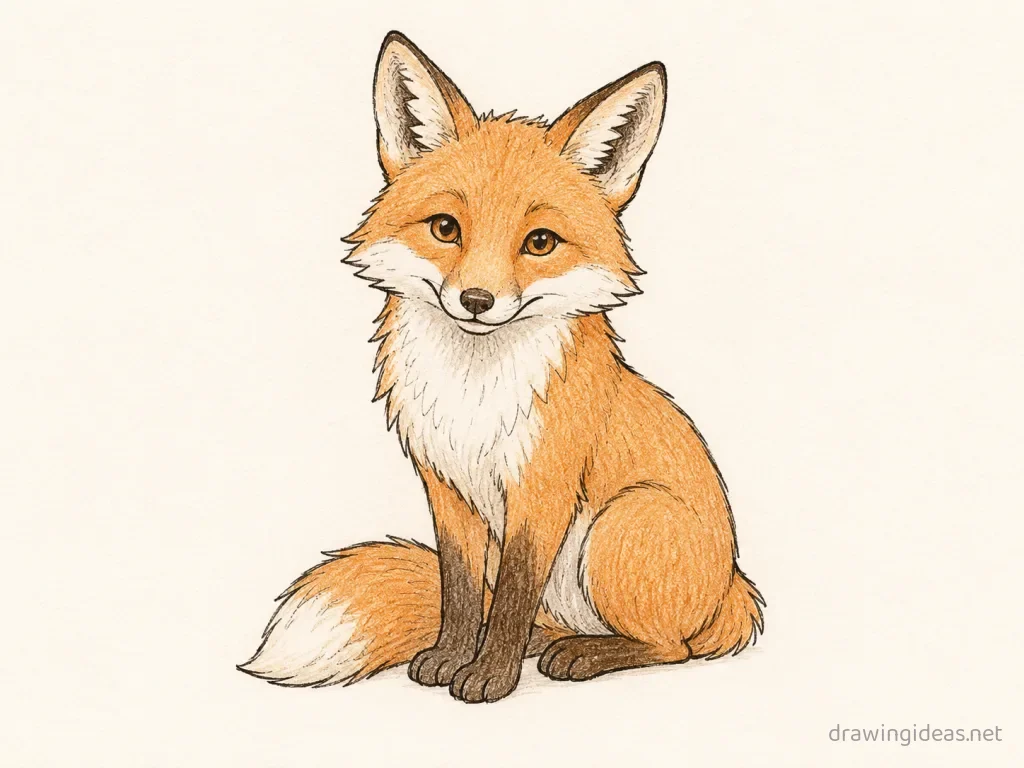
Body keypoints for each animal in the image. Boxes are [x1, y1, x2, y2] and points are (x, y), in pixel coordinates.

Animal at [239, 31, 764, 703]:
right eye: (445, 228)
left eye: (539, 243)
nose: (476, 301)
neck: (473, 394)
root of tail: (734, 593)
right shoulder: (446, 488)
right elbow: (463, 593)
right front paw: (451, 657)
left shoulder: (541, 491)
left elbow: (512, 592)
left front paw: (490, 677)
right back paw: (546, 643)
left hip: (625, 524)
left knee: (673, 646)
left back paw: (583, 654)